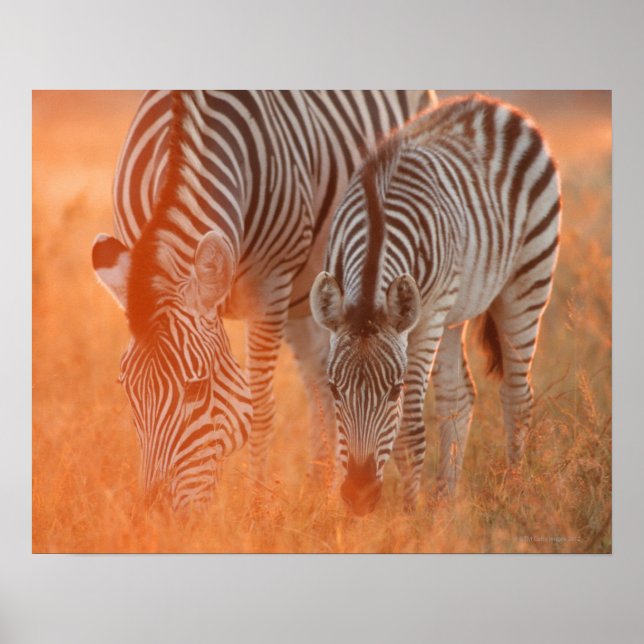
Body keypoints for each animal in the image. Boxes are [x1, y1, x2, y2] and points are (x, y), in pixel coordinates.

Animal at [92, 90, 436, 511]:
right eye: (127, 387)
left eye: (196, 389)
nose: (155, 514)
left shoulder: (269, 288)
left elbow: (259, 409)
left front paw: (254, 508)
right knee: (321, 382)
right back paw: (322, 490)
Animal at [310, 94, 561, 515]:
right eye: (334, 388)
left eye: (394, 390)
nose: (359, 494)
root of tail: (494, 105)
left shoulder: (426, 320)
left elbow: (409, 433)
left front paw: (409, 519)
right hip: (455, 312)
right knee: (460, 397)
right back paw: (445, 504)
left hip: (528, 277)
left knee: (517, 396)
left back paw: (515, 494)